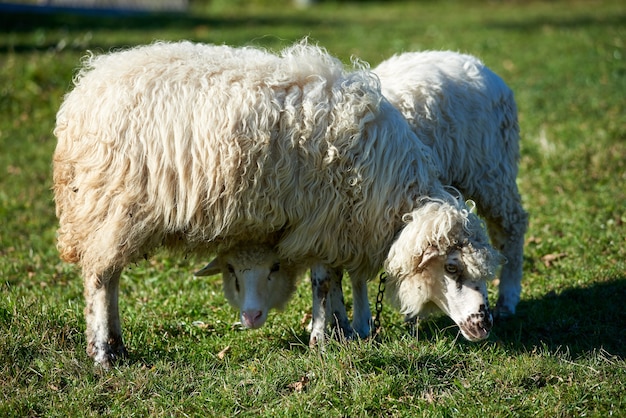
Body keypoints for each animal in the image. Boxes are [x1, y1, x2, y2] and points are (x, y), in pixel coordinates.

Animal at [53, 40, 498, 366]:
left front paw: (340, 331)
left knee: (108, 276)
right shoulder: (322, 217)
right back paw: (104, 352)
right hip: (110, 206)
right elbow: (323, 282)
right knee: (100, 279)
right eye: (452, 267)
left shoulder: (334, 223)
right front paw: (322, 340)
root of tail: (85, 89)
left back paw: (117, 345)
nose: (484, 324)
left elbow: (334, 279)